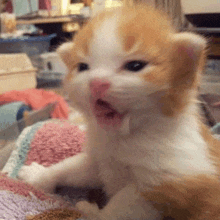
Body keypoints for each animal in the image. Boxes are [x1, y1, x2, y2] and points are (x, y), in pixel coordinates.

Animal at [17, 4, 220, 219]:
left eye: (135, 65)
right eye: (83, 67)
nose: (96, 83)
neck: (124, 137)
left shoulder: (170, 180)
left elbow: (123, 204)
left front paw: (92, 213)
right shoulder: (99, 158)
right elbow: (73, 167)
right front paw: (40, 176)